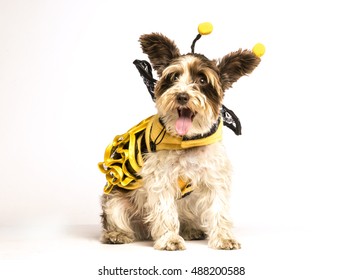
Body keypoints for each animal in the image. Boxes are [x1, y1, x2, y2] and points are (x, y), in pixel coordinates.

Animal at [99, 31, 260, 250]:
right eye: (174, 77)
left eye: (202, 80)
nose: (182, 96)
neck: (187, 141)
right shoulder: (161, 179)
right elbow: (165, 211)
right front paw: (169, 239)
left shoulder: (214, 177)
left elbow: (218, 210)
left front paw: (223, 237)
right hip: (116, 201)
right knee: (115, 218)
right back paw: (116, 234)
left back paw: (191, 229)